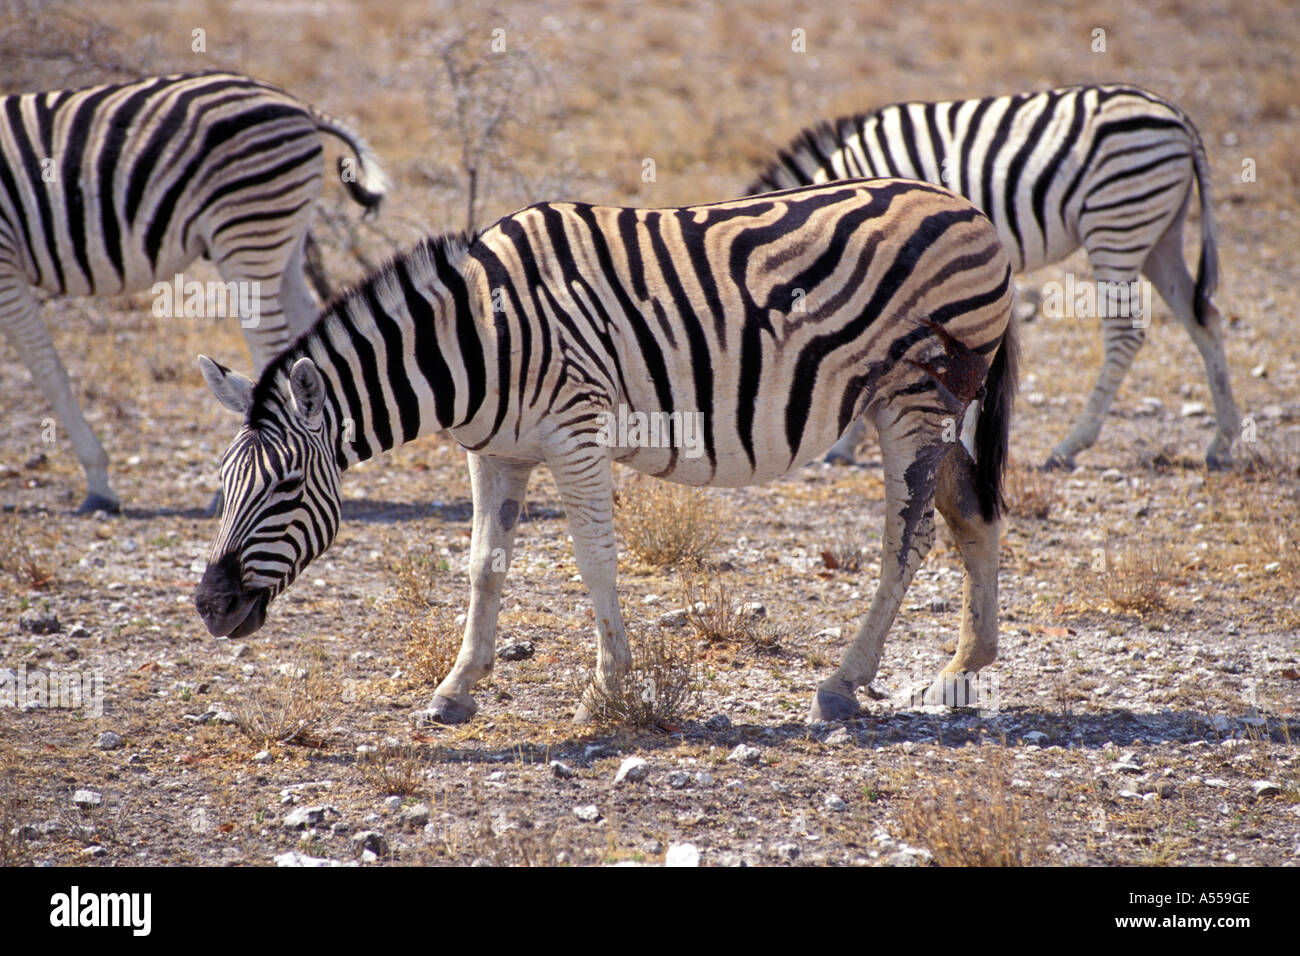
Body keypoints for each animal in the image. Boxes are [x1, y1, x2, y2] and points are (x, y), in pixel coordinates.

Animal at [0, 70, 388, 514]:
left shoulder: (4, 258)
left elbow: (47, 369)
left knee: (270, 346)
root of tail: (299, 106)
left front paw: (99, 483)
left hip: (248, 230)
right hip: (284, 240)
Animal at [193, 178, 1018, 724]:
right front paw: (458, 688)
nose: (208, 606)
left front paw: (604, 689)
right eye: (223, 488)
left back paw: (843, 684)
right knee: (972, 517)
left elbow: (593, 561)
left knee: (907, 538)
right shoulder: (494, 452)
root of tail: (970, 210)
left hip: (911, 403)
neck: (478, 336)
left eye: (286, 488)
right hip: (932, 409)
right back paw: (961, 670)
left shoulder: (575, 434)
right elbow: (484, 566)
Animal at [750, 84, 1238, 470]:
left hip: (1117, 221)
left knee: (1125, 335)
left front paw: (848, 444)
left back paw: (1070, 446)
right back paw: (1223, 443)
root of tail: (1178, 117)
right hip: (1160, 235)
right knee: (1204, 318)